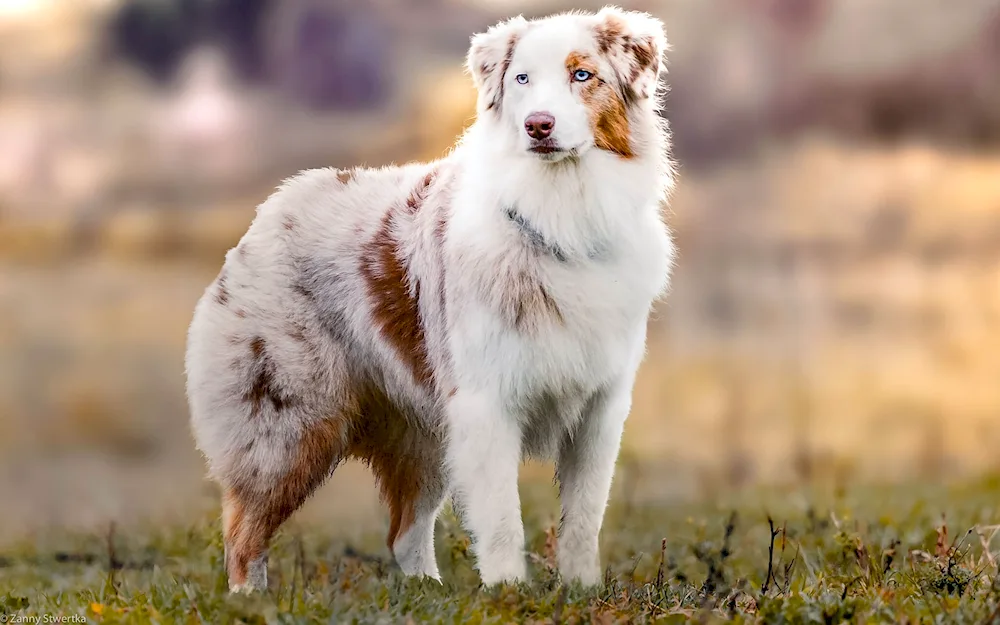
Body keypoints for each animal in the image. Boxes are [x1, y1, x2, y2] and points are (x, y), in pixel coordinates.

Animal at [185, 3, 676, 588]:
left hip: (424, 436)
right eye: (521, 79)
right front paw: (510, 595)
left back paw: (428, 591)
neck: (559, 220)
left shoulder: (598, 408)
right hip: (288, 424)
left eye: (583, 75)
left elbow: (583, 519)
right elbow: (503, 521)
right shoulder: (487, 403)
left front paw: (582, 592)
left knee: (404, 533)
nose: (538, 125)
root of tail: (267, 213)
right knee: (243, 533)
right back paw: (251, 597)